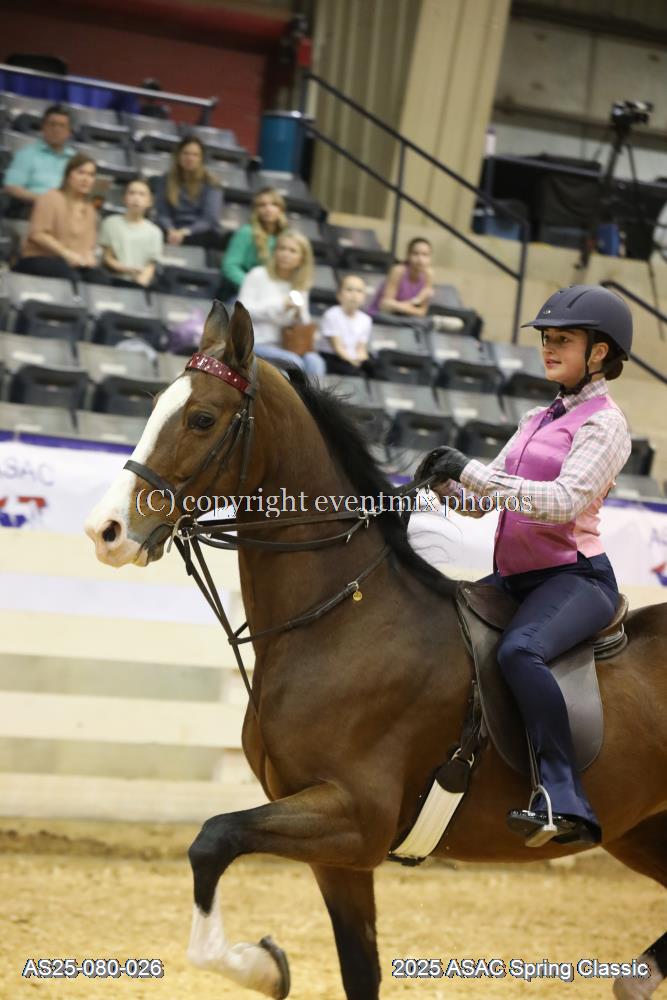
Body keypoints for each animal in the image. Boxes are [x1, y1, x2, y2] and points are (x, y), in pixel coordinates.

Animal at [85, 302, 667, 1000]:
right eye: (154, 406)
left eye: (201, 418)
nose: (106, 531)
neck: (342, 621)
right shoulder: (337, 851)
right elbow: (358, 968)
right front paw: (267, 965)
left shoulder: (356, 817)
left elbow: (211, 838)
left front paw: (260, 964)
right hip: (644, 832)